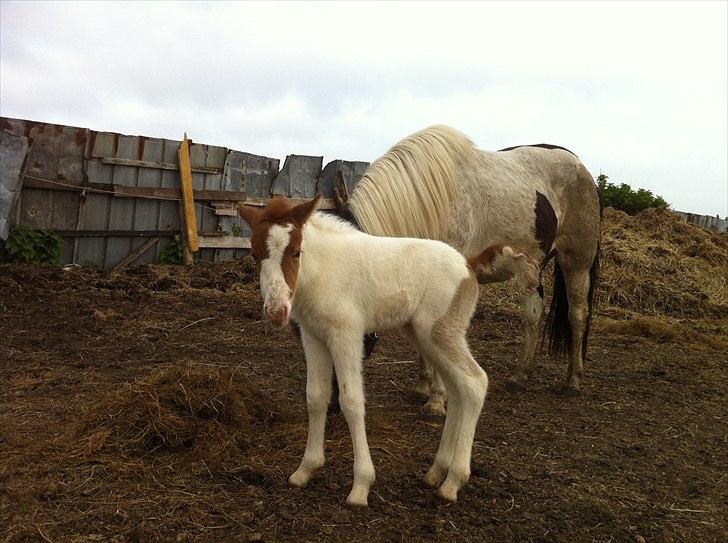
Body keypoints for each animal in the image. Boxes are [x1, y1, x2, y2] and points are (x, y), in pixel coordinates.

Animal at [242, 196, 498, 506]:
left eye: (296, 252)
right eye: (255, 255)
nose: (276, 311)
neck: (320, 271)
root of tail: (468, 266)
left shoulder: (347, 334)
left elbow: (351, 401)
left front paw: (361, 485)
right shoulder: (313, 336)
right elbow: (316, 397)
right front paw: (305, 470)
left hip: (441, 332)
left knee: (475, 381)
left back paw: (453, 482)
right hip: (424, 335)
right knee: (456, 388)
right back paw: (436, 472)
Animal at [348, 125, 604, 414]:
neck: (427, 206)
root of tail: (579, 165)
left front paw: (436, 402)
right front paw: (422, 387)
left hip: (576, 262)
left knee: (578, 315)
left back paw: (572, 381)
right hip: (531, 268)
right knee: (533, 313)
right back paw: (520, 377)